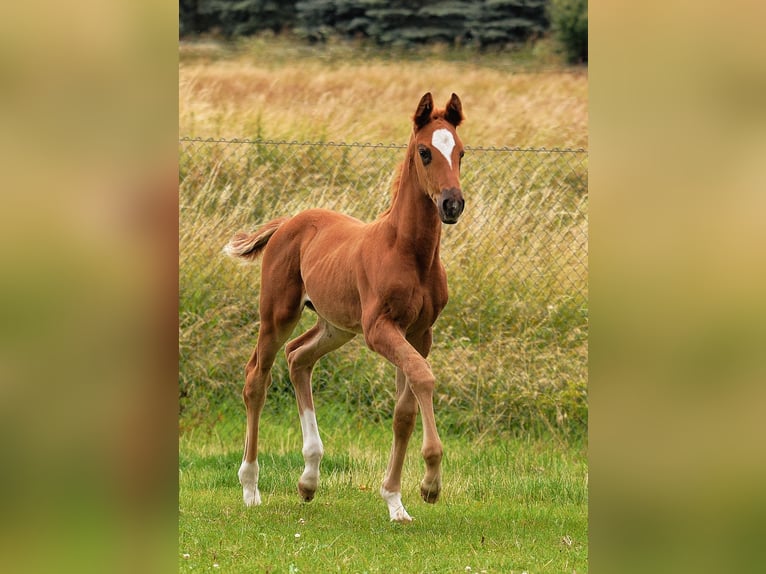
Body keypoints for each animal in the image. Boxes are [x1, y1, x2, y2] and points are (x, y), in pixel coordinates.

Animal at [226, 92, 468, 524]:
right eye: (425, 152)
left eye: (461, 152)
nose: (452, 204)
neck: (409, 251)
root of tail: (289, 221)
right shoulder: (379, 330)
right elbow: (424, 378)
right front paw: (430, 484)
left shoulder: (419, 333)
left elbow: (404, 412)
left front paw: (395, 501)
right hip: (278, 314)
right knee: (257, 378)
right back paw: (251, 487)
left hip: (334, 326)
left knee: (299, 357)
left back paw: (308, 480)